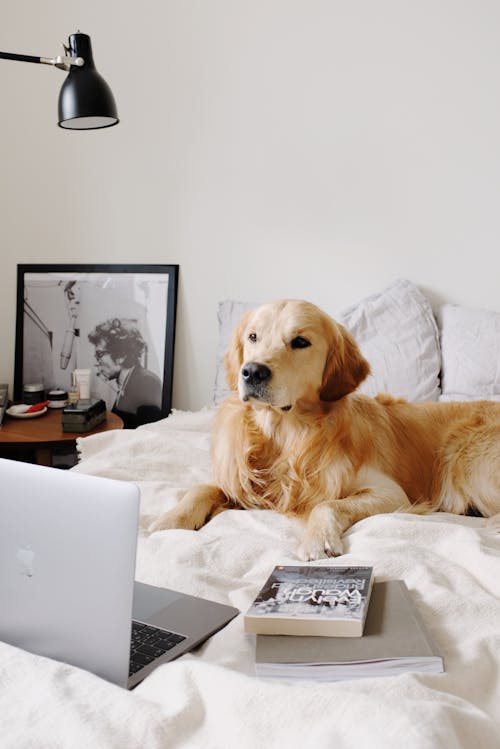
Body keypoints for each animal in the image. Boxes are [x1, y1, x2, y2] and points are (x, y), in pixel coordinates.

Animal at [151, 296, 500, 556]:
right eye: (253, 337)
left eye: (300, 341)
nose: (251, 372)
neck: (285, 435)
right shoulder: (240, 483)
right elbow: (202, 487)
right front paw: (171, 519)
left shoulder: (392, 494)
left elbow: (327, 504)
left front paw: (317, 540)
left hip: (469, 459)